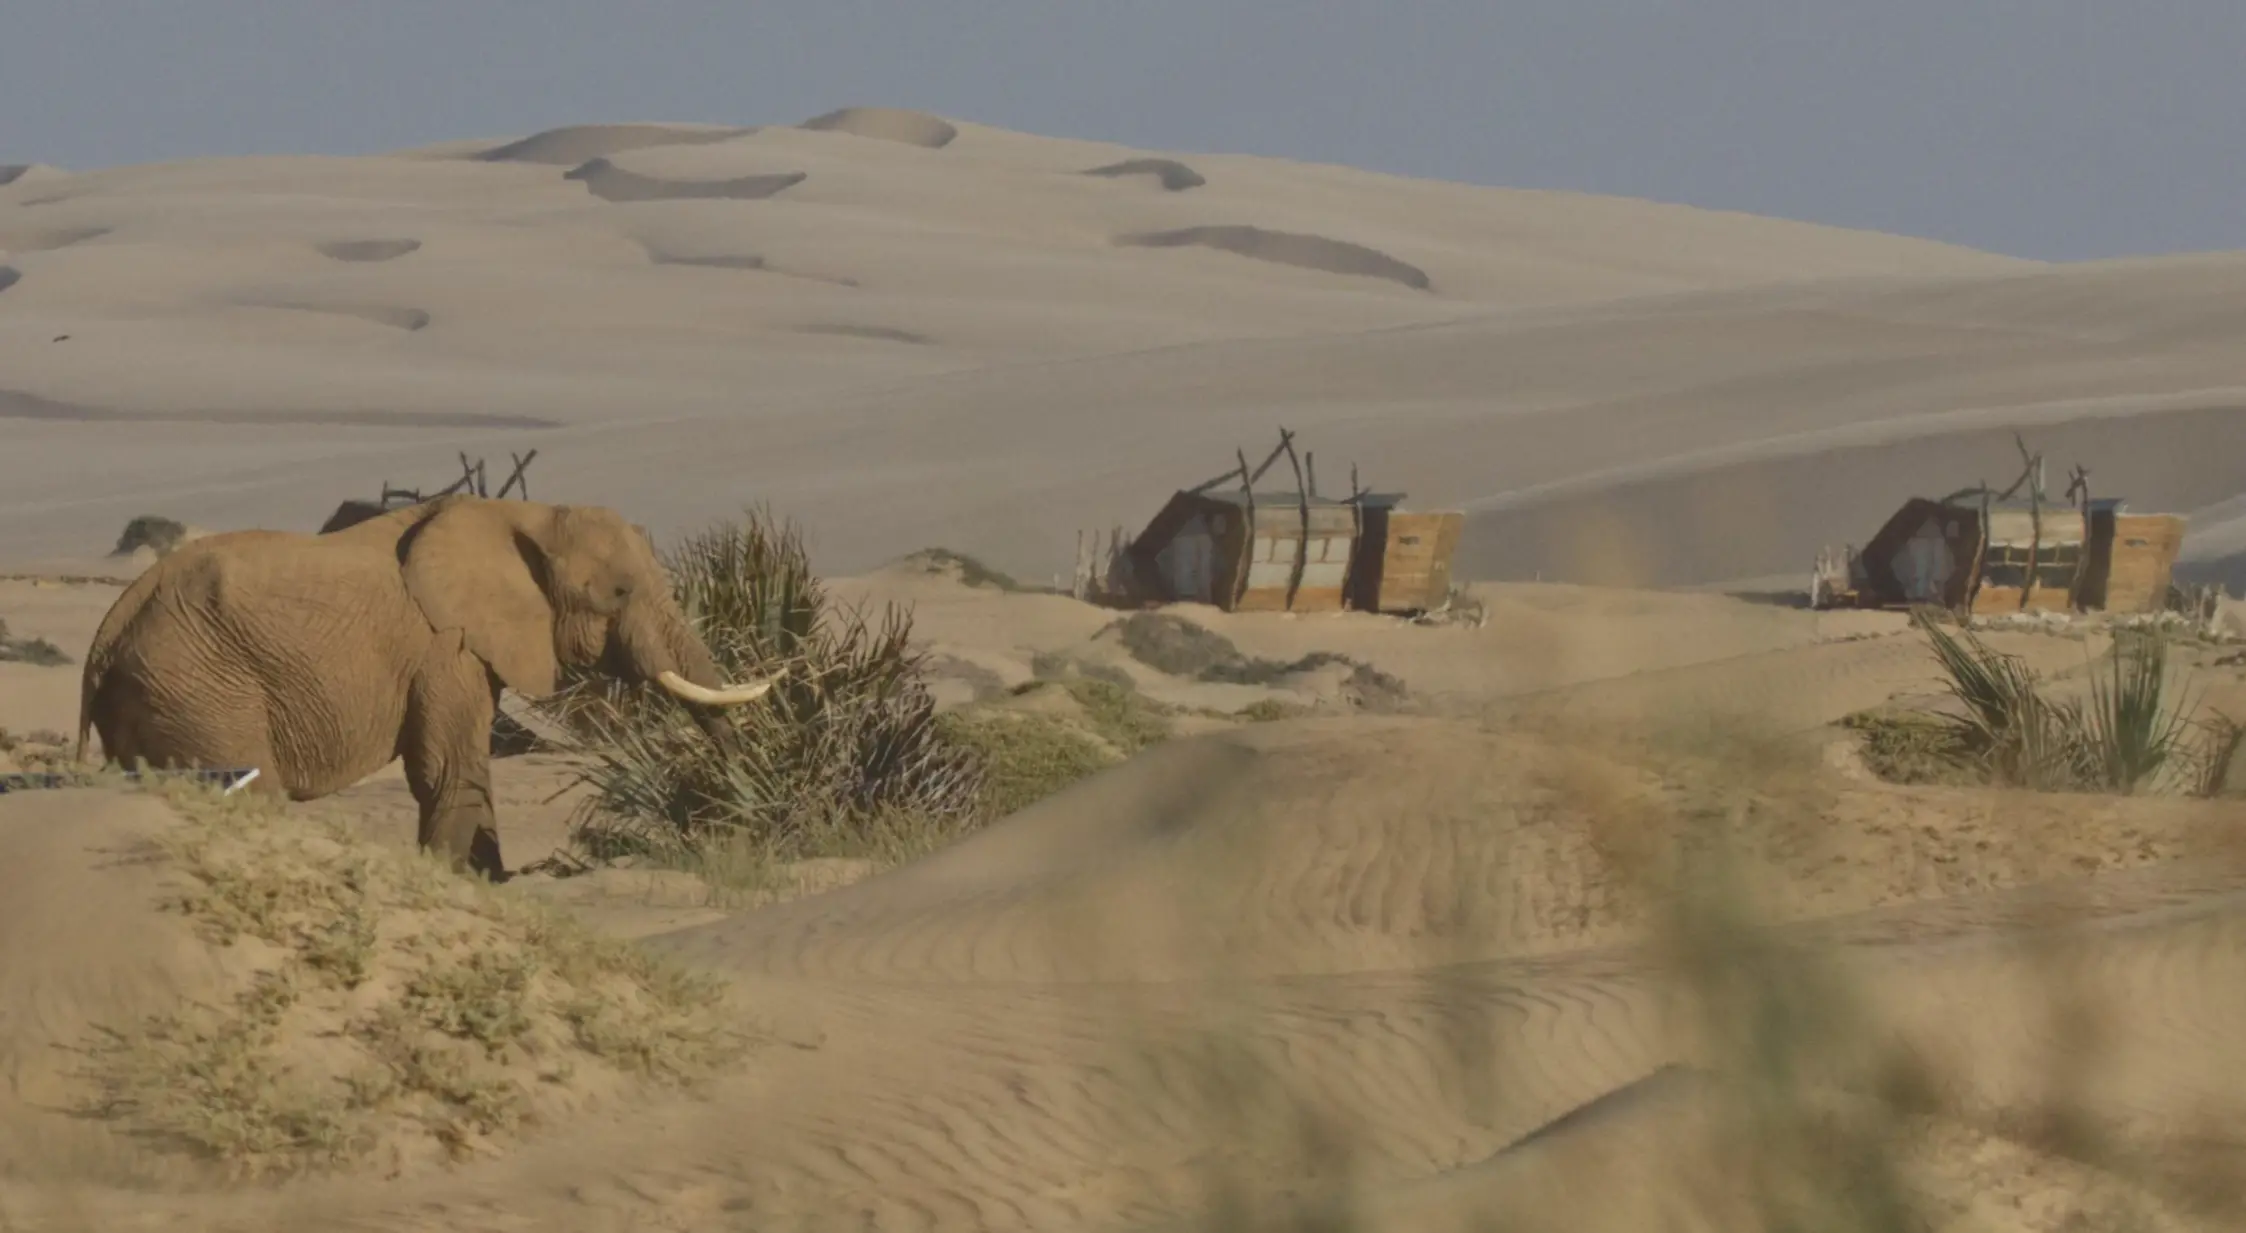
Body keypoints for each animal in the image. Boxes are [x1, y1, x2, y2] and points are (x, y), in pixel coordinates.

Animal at [74, 495, 775, 877]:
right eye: (620, 593)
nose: (739, 818)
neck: (523, 514)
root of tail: (105, 636)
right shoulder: (446, 648)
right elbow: (448, 769)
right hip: (199, 689)